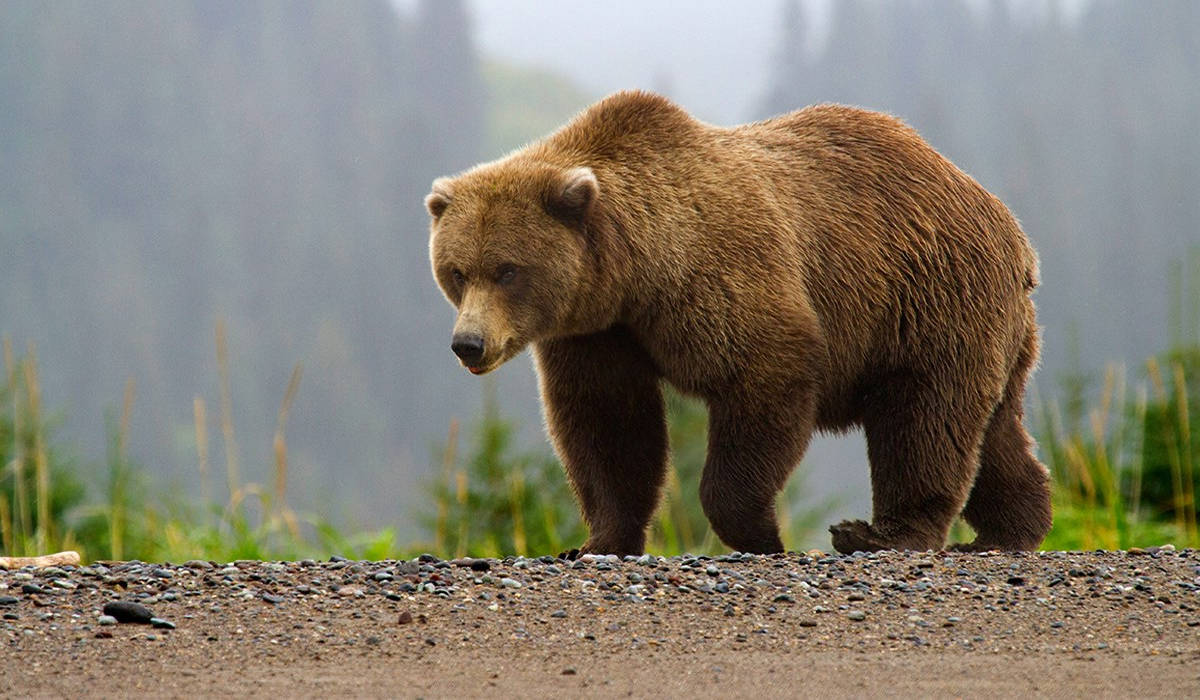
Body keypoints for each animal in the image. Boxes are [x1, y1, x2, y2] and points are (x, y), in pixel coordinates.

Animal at [427, 90, 1056, 557]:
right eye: (456, 271)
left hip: (927, 299)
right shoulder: (598, 332)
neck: (635, 272)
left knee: (924, 420)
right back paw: (1011, 528)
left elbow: (764, 375)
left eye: (508, 270)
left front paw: (762, 533)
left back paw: (880, 534)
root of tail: (1010, 227)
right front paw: (598, 541)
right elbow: (608, 424)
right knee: (993, 430)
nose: (468, 343)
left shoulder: (719, 276)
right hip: (986, 326)